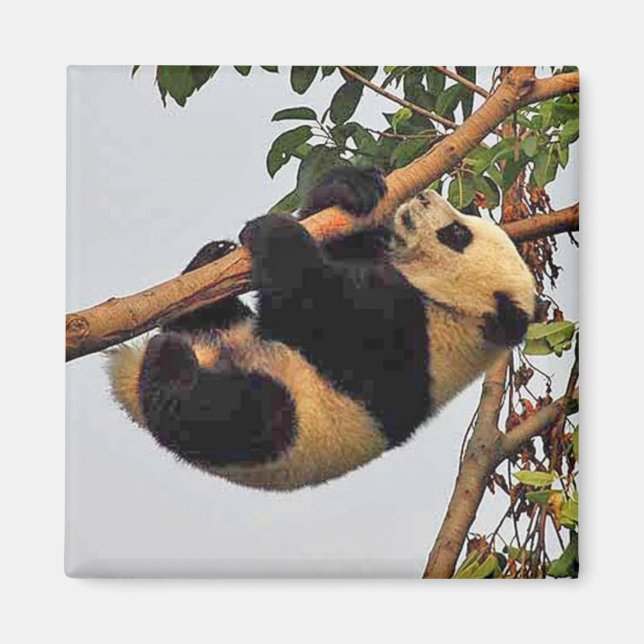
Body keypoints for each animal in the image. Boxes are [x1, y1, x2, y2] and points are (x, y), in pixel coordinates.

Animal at [108, 167, 536, 491]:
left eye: (458, 235)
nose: (425, 196)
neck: (454, 307)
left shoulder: (414, 339)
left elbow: (314, 309)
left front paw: (274, 233)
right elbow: (335, 242)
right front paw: (353, 187)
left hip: (286, 426)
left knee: (236, 417)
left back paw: (169, 368)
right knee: (201, 320)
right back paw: (211, 259)